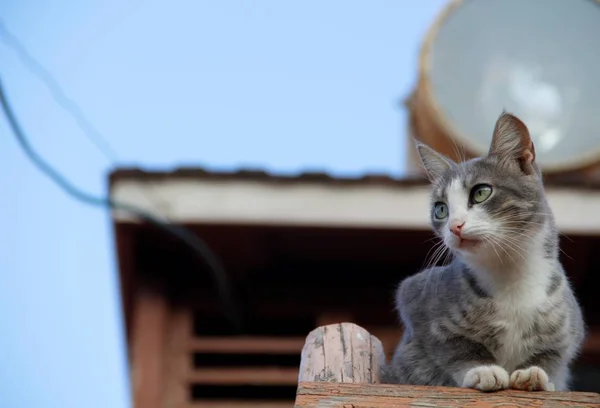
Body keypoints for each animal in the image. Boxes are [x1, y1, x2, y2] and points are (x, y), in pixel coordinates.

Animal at [382, 111, 584, 392]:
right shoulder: (415, 295)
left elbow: (553, 356)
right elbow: (453, 347)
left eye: (481, 193)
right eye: (441, 209)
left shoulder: (570, 325)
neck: (510, 275)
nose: (455, 226)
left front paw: (535, 372)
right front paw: (482, 369)